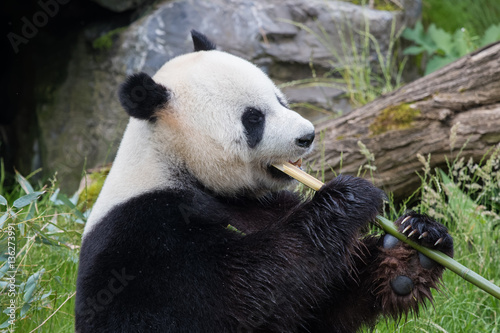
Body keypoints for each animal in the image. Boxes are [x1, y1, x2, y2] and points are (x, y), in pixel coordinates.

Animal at [74, 29, 454, 330]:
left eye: (279, 98)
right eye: (253, 118)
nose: (307, 136)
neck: (177, 164)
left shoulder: (262, 203)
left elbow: (325, 303)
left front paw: (415, 246)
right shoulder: (141, 238)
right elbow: (241, 295)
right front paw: (350, 195)